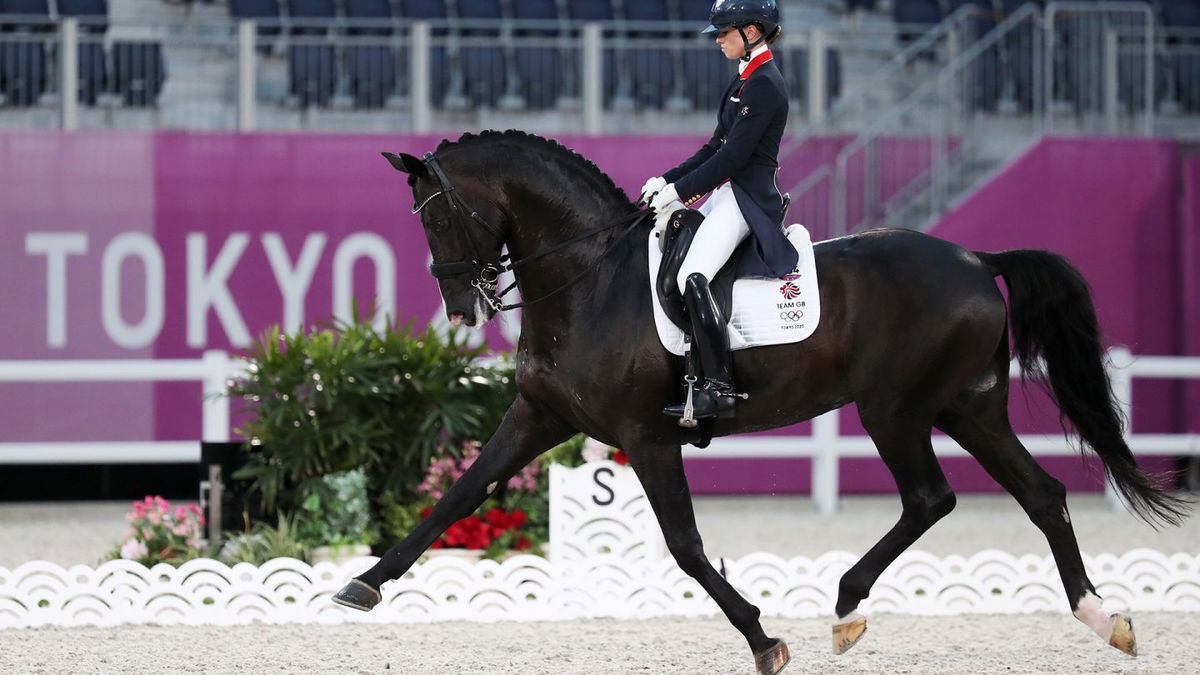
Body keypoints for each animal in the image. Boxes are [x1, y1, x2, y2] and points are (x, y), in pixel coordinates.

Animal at [333, 128, 1185, 667]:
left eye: (441, 214)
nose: (461, 308)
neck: (590, 279)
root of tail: (977, 257)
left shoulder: (646, 435)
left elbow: (684, 543)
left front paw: (762, 639)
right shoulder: (539, 415)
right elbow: (460, 495)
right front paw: (361, 584)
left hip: (896, 409)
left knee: (931, 497)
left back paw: (846, 606)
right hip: (966, 406)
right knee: (1040, 494)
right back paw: (1103, 618)